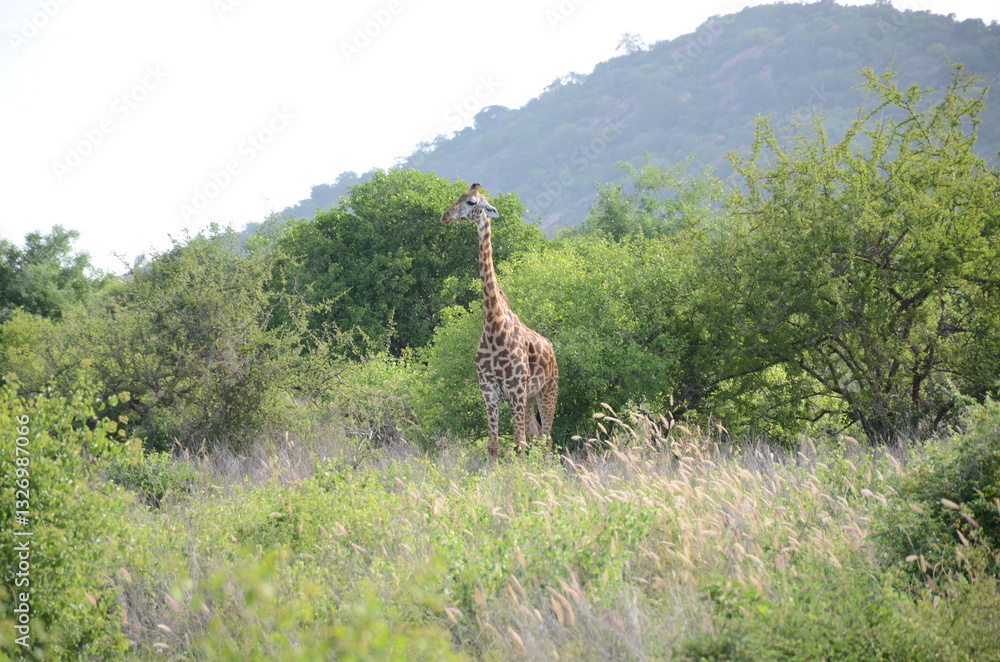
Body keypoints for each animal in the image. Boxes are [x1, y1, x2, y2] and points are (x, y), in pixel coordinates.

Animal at [441, 183, 559, 462]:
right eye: (459, 198)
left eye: (472, 202)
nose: (445, 216)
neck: (494, 325)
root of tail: (553, 349)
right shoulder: (488, 390)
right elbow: (494, 444)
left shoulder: (515, 389)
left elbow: (519, 445)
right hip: (530, 398)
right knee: (538, 436)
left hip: (548, 391)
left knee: (546, 440)